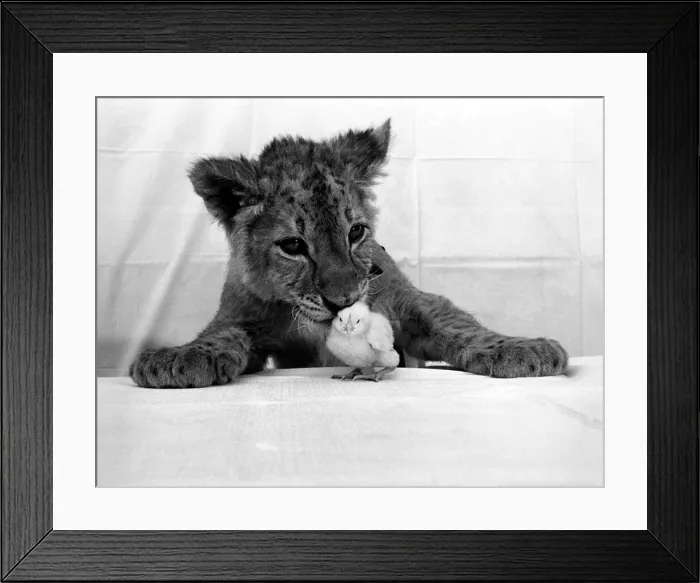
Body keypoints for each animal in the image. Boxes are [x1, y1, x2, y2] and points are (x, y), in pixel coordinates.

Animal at [129, 120, 568, 388]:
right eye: (293, 246)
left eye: (356, 232)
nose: (343, 301)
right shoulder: (244, 316)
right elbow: (220, 334)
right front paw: (178, 358)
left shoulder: (408, 303)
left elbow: (455, 323)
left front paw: (523, 349)